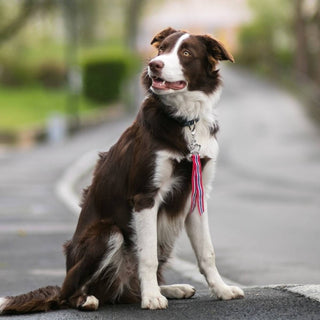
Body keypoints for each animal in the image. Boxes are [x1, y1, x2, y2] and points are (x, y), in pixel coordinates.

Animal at [0, 26, 244, 312]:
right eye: (162, 49)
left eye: (186, 53)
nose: (154, 65)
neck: (183, 120)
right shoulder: (145, 197)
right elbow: (147, 256)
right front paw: (152, 299)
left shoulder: (197, 195)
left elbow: (207, 252)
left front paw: (222, 290)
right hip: (107, 234)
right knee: (70, 293)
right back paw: (90, 299)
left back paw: (171, 288)